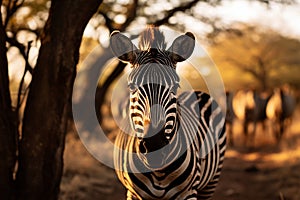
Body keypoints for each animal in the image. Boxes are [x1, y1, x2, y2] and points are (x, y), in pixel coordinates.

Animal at [109, 27, 225, 200]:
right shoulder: (133, 194)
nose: (154, 145)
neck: (158, 171)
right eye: (131, 87)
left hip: (210, 182)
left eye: (175, 86)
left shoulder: (189, 193)